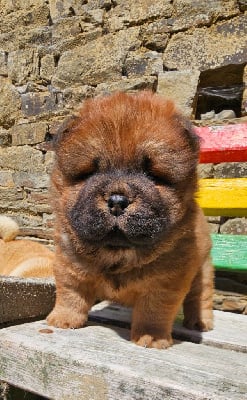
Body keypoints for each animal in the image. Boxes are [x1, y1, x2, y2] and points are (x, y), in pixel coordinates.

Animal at [47, 90, 213, 346]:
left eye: (152, 175)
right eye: (90, 173)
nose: (117, 201)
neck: (118, 254)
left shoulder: (168, 280)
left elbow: (155, 309)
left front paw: (151, 337)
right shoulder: (68, 263)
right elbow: (70, 293)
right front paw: (63, 320)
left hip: (201, 269)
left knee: (201, 296)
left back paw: (200, 322)